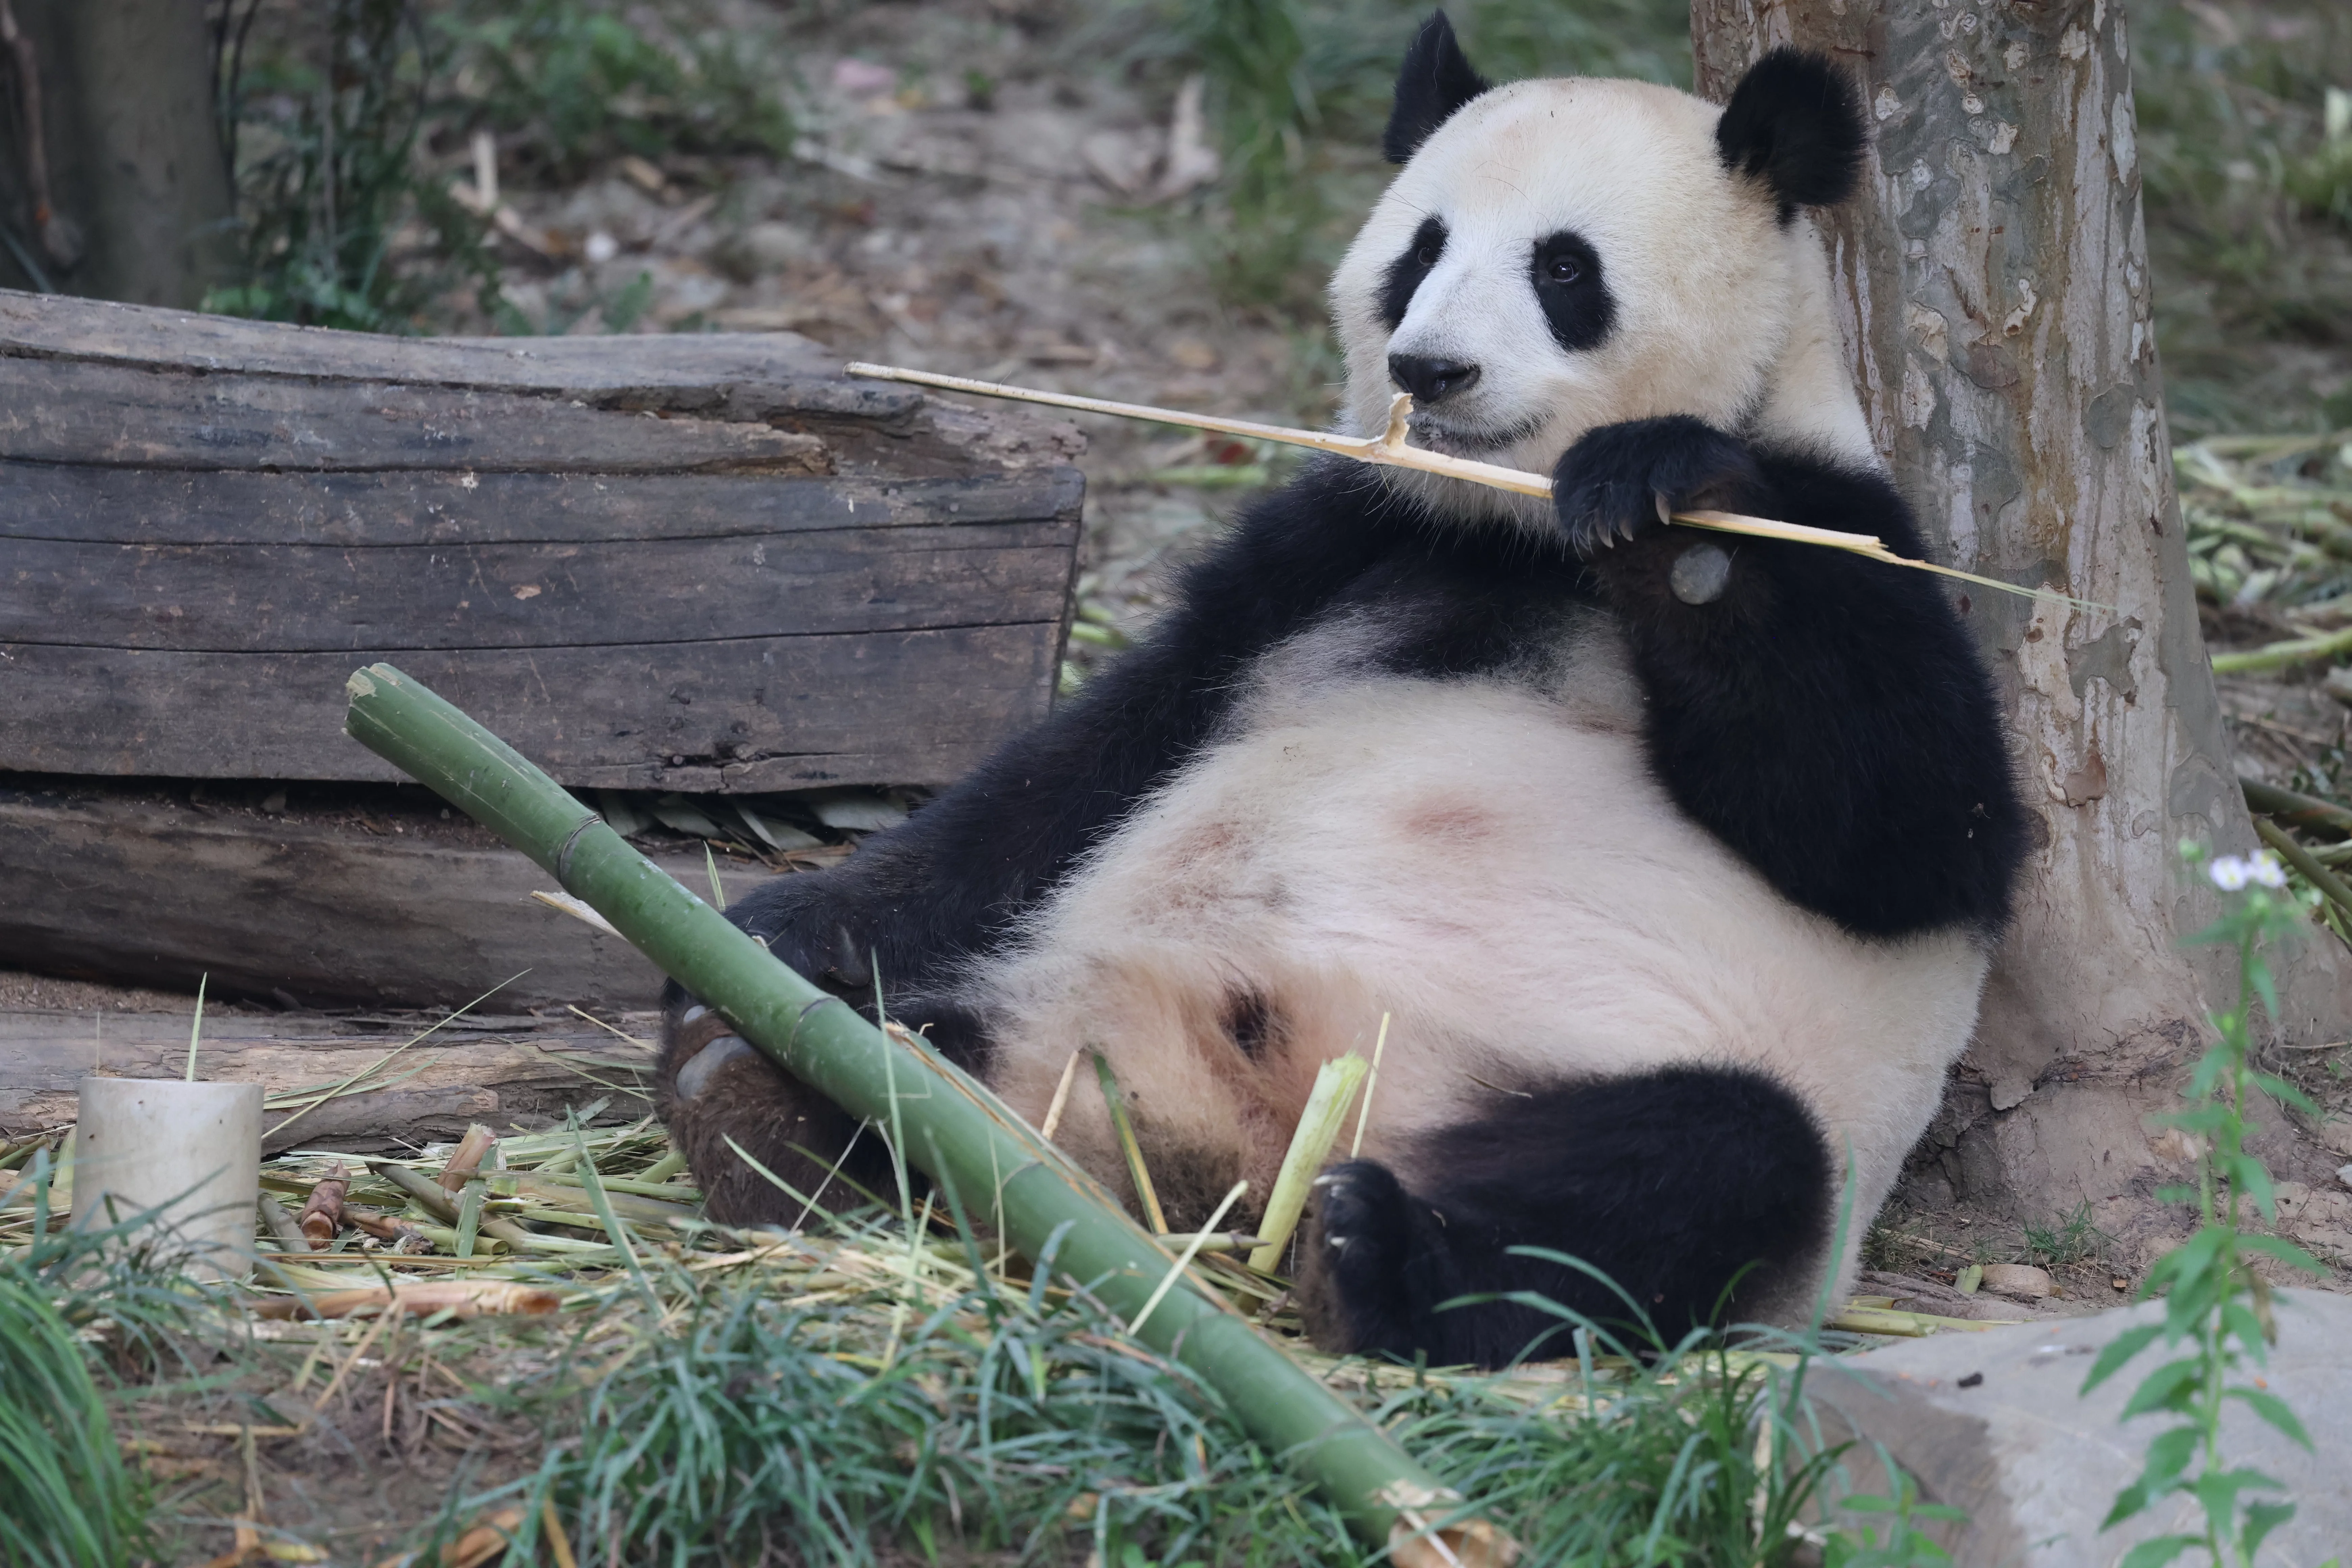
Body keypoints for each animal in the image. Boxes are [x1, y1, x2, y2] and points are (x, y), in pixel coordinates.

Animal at [656, 14, 2027, 1370]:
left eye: (1563, 269)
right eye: (1419, 252)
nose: (1432, 367)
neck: (1512, 532)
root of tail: (1245, 1140)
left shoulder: (1844, 522)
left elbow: (1908, 830)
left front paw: (1660, 497)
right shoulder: (1345, 540)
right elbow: (1098, 751)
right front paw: (777, 929)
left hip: (1653, 1079)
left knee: (1697, 1166)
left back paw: (1377, 1253)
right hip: (1067, 1019)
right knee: (942, 1044)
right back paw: (772, 1091)